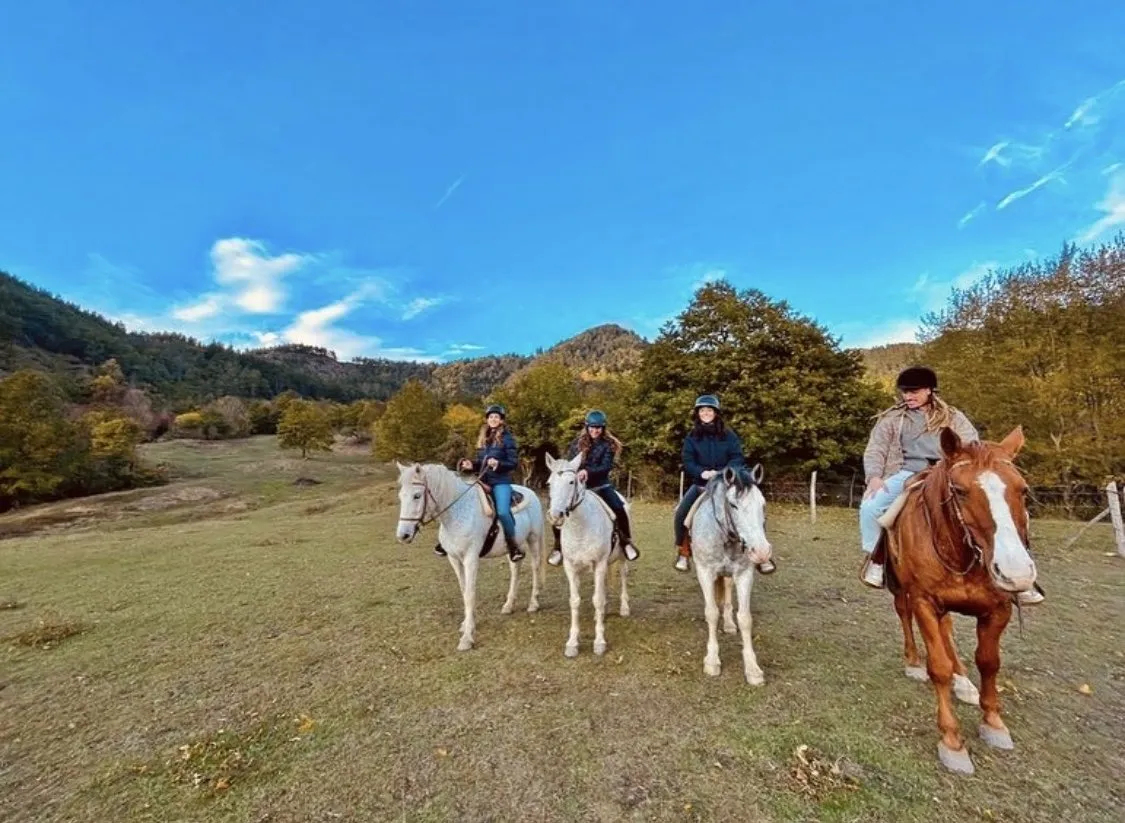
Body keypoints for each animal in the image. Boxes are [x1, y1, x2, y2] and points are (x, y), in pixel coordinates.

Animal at [393, 462, 546, 652]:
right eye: (401, 496)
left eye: (417, 495)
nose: (403, 535)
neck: (458, 513)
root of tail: (531, 492)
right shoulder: (454, 559)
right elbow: (463, 590)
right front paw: (467, 624)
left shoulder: (470, 559)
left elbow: (470, 594)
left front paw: (467, 638)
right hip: (513, 547)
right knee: (515, 569)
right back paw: (508, 605)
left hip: (533, 539)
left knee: (535, 567)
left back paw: (533, 604)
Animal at [544, 452, 632, 658]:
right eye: (549, 483)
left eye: (571, 482)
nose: (555, 516)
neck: (580, 526)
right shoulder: (570, 567)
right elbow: (575, 602)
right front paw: (572, 643)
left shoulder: (599, 563)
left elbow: (597, 600)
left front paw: (599, 642)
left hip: (621, 558)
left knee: (623, 576)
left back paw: (624, 608)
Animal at [685, 464, 773, 685]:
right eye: (733, 505)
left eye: (763, 504)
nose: (761, 552)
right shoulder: (705, 572)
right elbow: (711, 613)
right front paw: (712, 661)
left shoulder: (744, 574)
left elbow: (745, 618)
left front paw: (753, 669)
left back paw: (729, 624)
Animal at [879, 426, 1038, 775]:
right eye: (960, 491)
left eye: (1022, 490)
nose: (1016, 573)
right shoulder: (923, 601)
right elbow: (937, 666)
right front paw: (952, 742)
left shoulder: (998, 609)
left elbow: (989, 662)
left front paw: (993, 723)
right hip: (902, 589)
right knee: (905, 616)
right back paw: (914, 662)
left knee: (948, 630)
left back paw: (962, 680)